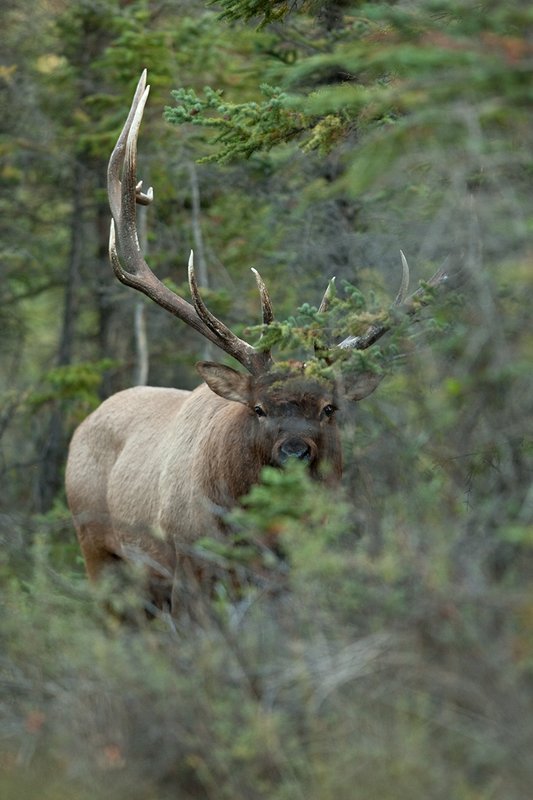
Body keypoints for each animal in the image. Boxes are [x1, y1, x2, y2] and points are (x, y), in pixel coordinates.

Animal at [65, 71, 448, 614]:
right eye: (260, 408)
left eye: (329, 408)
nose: (295, 452)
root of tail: (85, 424)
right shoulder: (191, 568)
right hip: (98, 551)